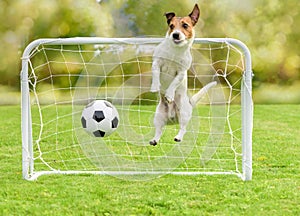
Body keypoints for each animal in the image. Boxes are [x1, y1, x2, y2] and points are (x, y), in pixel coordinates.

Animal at [149, 3, 216, 145]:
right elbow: (156, 74)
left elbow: (174, 83)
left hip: (183, 113)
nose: (175, 34)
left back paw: (178, 137)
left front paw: (169, 95)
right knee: (159, 130)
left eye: (185, 25)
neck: (175, 50)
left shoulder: (181, 72)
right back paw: (154, 140)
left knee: (183, 128)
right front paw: (155, 86)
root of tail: (172, 118)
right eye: (171, 26)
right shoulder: (156, 63)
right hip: (158, 116)